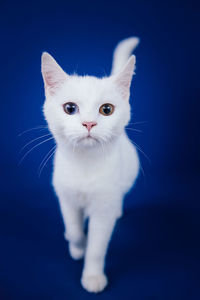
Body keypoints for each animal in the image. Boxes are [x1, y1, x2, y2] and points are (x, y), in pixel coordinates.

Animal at [41, 37, 140, 292]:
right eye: (70, 108)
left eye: (106, 109)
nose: (88, 123)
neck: (85, 164)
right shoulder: (65, 196)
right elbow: (74, 228)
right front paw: (77, 246)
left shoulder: (103, 208)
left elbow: (97, 247)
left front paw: (93, 277)